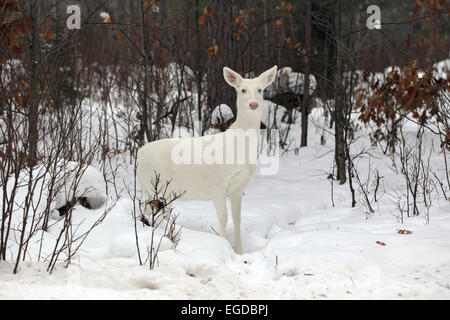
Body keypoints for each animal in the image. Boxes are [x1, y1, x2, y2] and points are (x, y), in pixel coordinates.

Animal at [136, 65, 278, 255]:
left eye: (260, 90)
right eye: (242, 90)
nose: (253, 104)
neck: (238, 148)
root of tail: (139, 154)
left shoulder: (238, 188)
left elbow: (237, 218)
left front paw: (240, 252)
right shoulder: (216, 183)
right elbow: (223, 216)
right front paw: (224, 246)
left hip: (162, 191)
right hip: (152, 184)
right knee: (147, 207)